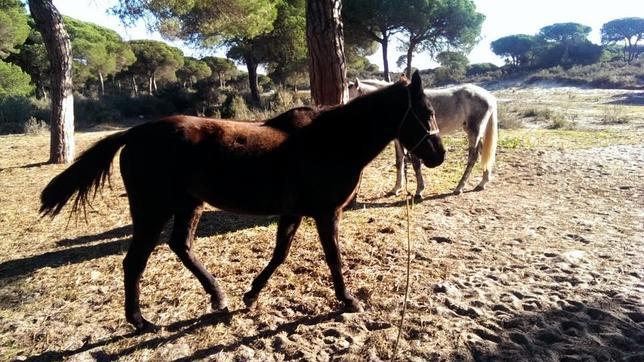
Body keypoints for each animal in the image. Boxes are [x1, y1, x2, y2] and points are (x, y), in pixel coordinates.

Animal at [39, 69, 442, 332]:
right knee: (134, 262)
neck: (330, 141)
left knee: (181, 246)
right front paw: (348, 300)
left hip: (189, 204)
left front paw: (251, 295)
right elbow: (333, 258)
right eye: (426, 111)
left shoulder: (293, 212)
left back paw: (218, 298)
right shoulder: (326, 213)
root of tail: (136, 132)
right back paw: (141, 322)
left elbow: (280, 254)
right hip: (152, 210)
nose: (438, 155)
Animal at [352, 79, 498, 197]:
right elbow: (399, 161)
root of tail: (489, 96)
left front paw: (419, 190)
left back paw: (459, 187)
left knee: (473, 157)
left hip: (474, 131)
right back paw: (482, 183)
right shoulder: (399, 141)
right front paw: (396, 189)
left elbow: (415, 163)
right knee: (482, 152)